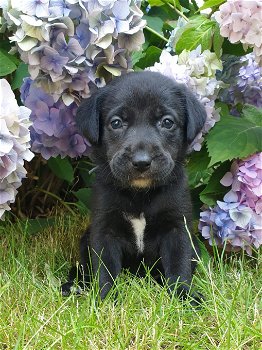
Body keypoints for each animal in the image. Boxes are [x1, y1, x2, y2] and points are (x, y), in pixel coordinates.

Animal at [63, 70, 207, 300]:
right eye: (116, 123)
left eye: (167, 122)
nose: (141, 162)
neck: (140, 194)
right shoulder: (104, 229)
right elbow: (105, 269)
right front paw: (107, 300)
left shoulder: (177, 228)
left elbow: (179, 267)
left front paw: (185, 297)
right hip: (85, 240)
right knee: (84, 268)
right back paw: (74, 285)